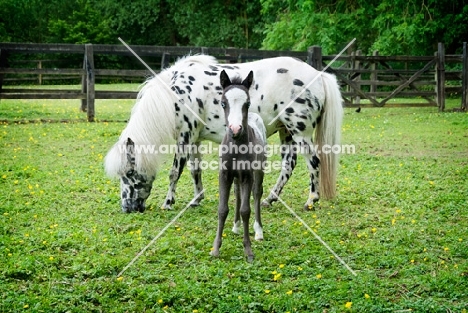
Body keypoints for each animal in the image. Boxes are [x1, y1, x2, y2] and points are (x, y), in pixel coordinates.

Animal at [105, 55, 344, 212]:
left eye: (129, 172)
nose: (127, 207)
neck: (175, 93)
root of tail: (319, 76)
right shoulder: (194, 140)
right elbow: (195, 170)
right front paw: (196, 200)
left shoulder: (184, 138)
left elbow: (175, 172)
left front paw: (168, 203)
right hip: (287, 132)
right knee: (288, 166)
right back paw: (270, 199)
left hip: (300, 132)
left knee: (313, 162)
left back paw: (311, 200)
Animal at [210, 70, 266, 260]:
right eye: (223, 103)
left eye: (247, 103)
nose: (235, 129)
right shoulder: (224, 174)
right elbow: (222, 209)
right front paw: (215, 249)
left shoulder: (247, 175)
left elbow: (246, 210)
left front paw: (248, 250)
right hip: (236, 177)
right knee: (238, 192)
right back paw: (235, 226)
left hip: (259, 169)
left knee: (256, 193)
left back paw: (259, 231)